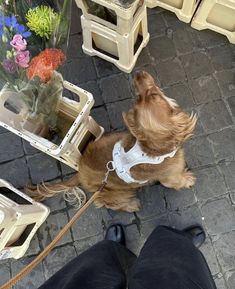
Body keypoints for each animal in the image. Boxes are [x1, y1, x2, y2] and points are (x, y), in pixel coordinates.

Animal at [26, 71, 197, 212]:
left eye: (149, 95)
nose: (137, 73)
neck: (152, 150)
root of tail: (80, 173)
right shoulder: (170, 179)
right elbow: (179, 181)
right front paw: (188, 179)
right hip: (111, 192)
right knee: (106, 202)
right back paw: (130, 205)